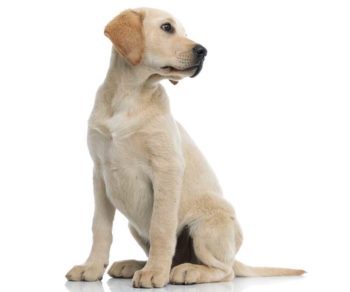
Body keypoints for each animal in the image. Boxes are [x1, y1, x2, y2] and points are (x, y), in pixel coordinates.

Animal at [65, 6, 304, 288]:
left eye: (185, 33)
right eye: (167, 28)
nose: (203, 51)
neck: (129, 96)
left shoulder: (166, 169)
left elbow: (161, 227)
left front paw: (154, 273)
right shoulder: (100, 173)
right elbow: (100, 228)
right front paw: (91, 267)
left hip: (207, 225)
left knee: (224, 270)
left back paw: (185, 271)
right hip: (135, 227)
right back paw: (135, 264)